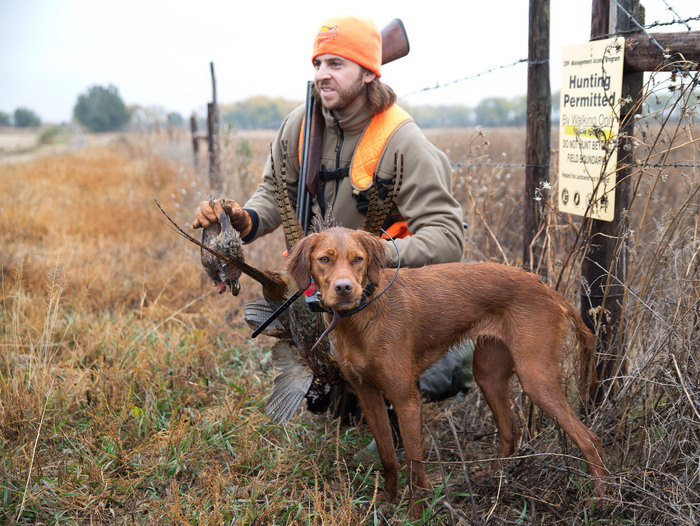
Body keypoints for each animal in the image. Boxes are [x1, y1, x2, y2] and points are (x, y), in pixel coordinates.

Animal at [288, 227, 604, 520]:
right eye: (324, 259)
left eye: (358, 259)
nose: (344, 288)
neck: (364, 315)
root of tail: (548, 289)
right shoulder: (368, 395)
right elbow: (388, 457)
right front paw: (388, 502)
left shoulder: (406, 401)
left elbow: (415, 467)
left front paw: (415, 515)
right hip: (488, 373)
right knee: (510, 430)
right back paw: (494, 481)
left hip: (535, 377)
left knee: (589, 438)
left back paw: (600, 501)